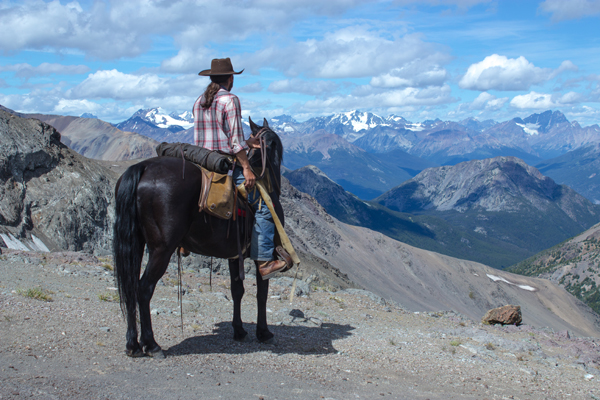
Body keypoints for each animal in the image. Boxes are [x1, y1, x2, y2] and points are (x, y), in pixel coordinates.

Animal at [113, 117, 282, 358]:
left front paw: (239, 330)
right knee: (143, 288)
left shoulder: (235, 256)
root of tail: (142, 167)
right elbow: (262, 293)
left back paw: (133, 345)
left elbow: (237, 291)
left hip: (136, 244)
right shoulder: (263, 255)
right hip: (161, 250)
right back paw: (152, 345)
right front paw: (264, 332)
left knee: (129, 287)